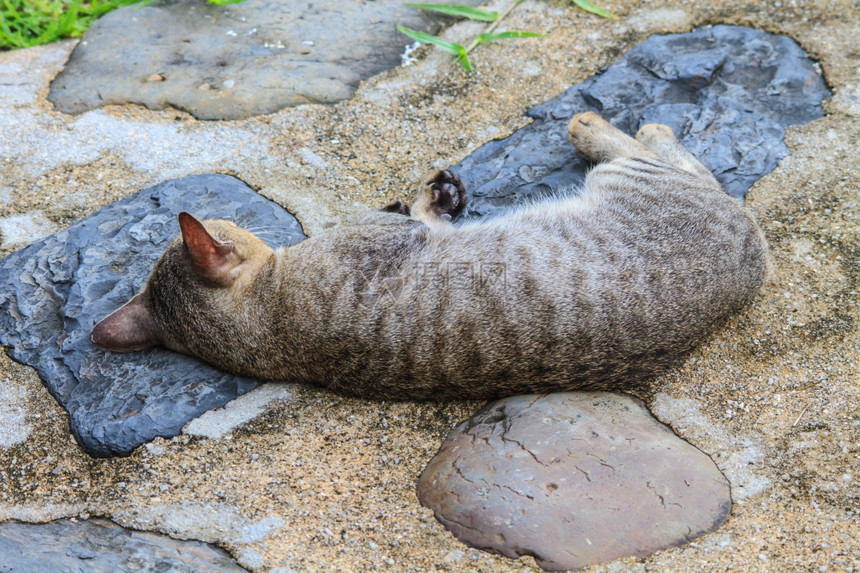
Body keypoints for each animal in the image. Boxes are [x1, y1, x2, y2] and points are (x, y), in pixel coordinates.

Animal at [90, 111, 768, 398]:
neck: (267, 326)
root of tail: (751, 264)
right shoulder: (395, 239)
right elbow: (416, 218)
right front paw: (430, 198)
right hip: (641, 182)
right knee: (672, 160)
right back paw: (607, 125)